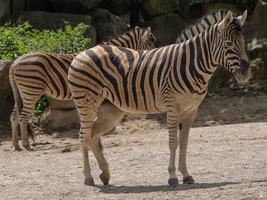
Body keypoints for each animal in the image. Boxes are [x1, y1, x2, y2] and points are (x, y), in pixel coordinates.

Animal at [9, 27, 157, 152]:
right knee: (23, 117)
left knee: (14, 116)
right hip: (31, 91)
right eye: (152, 43)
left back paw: (16, 145)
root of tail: (15, 62)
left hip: (22, 93)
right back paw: (26, 145)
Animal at [67, 10, 251, 186]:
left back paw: (105, 175)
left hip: (110, 110)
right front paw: (172, 177)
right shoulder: (173, 107)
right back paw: (88, 177)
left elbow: (184, 143)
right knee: (84, 136)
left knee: (93, 136)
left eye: (243, 42)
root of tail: (84, 51)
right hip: (86, 103)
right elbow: (173, 142)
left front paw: (186, 175)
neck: (190, 64)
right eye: (229, 44)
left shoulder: (191, 110)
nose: (246, 72)